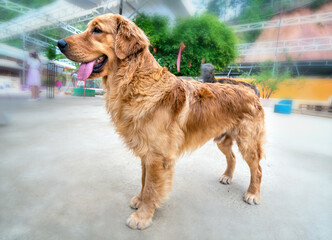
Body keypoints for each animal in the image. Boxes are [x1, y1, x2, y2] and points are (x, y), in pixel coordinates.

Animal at [57, 13, 264, 231]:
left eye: (96, 30)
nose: (59, 43)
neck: (134, 79)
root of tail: (251, 89)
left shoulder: (158, 156)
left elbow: (151, 188)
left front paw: (142, 216)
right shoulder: (146, 153)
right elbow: (144, 181)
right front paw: (140, 201)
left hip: (248, 142)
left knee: (257, 169)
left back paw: (252, 194)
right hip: (222, 139)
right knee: (231, 157)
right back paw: (227, 176)